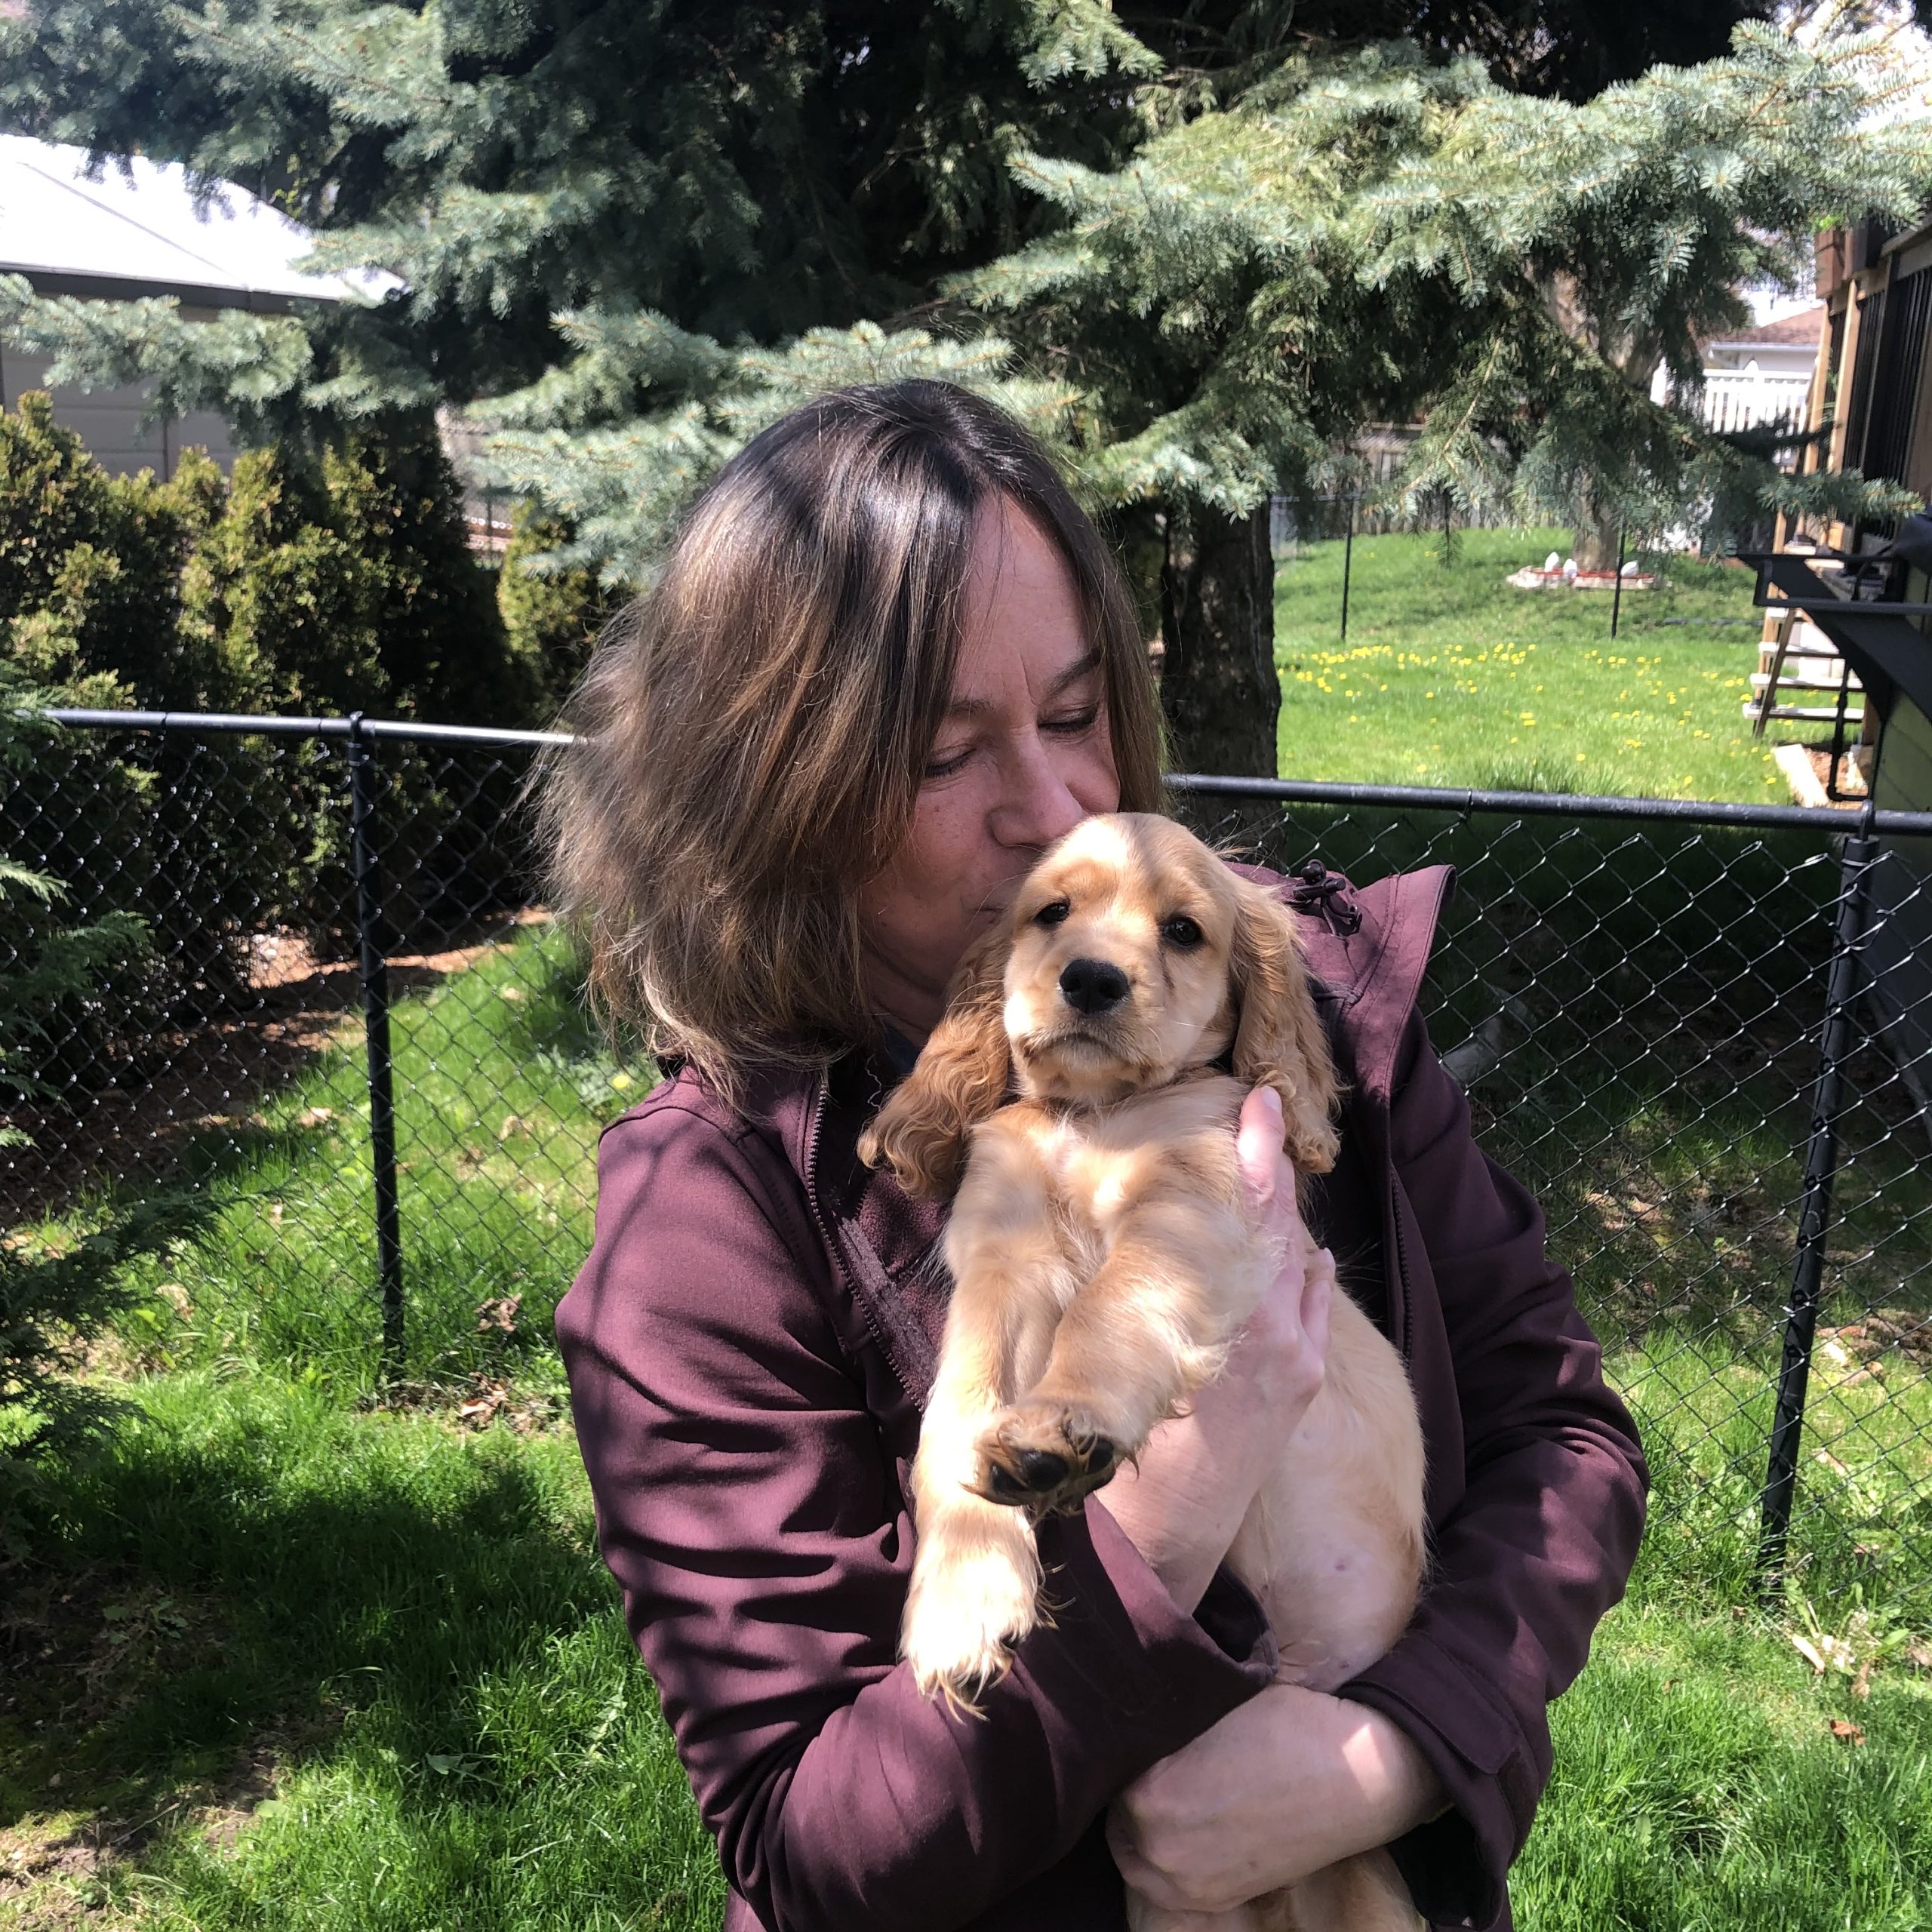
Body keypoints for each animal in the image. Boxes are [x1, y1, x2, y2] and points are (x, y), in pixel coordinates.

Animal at [860, 812, 1427, 1932]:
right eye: (1051, 912)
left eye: (1182, 931)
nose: (1089, 979)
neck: (1089, 1120)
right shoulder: (996, 1265)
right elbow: (952, 1423)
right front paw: (961, 1597)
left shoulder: (1191, 1209)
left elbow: (1107, 1312)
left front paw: (1057, 1426)